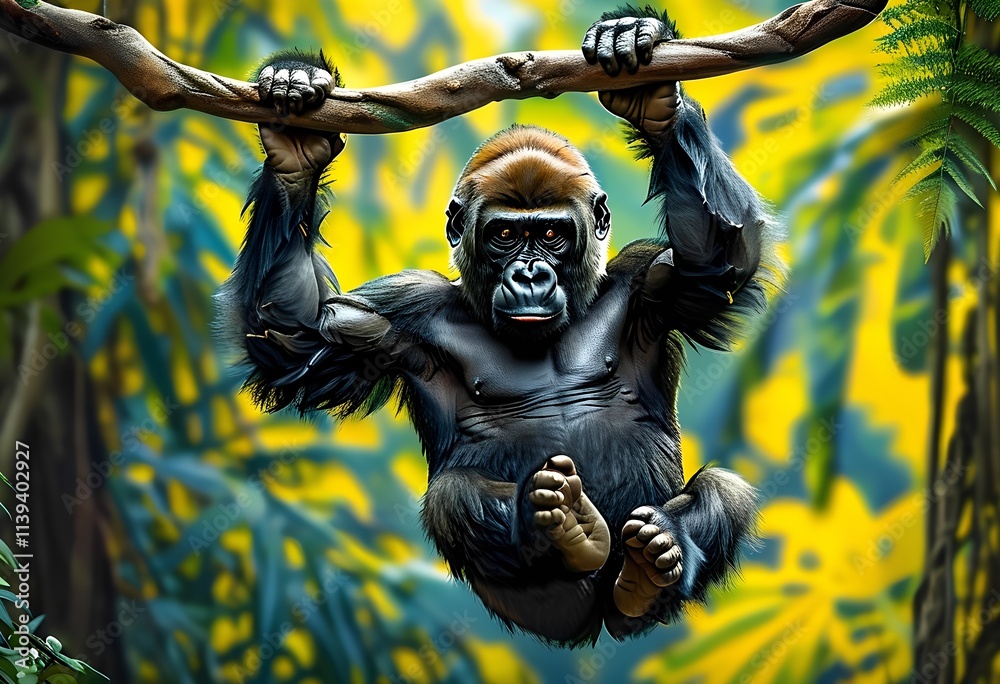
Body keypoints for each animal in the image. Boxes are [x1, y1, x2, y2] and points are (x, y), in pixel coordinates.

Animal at [217, 5, 783, 646]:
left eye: (552, 233)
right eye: (506, 234)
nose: (530, 273)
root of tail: (596, 620)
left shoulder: (648, 283)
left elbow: (714, 259)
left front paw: (653, 92)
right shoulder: (403, 307)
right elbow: (299, 340)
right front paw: (296, 147)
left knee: (724, 492)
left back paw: (651, 559)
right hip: (544, 607)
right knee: (454, 497)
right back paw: (562, 526)